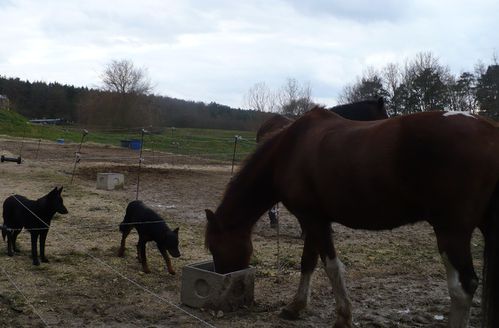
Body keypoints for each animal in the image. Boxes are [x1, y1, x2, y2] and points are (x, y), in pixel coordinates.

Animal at [206, 108, 499, 328]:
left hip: (452, 231)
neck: (288, 150)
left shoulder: (314, 221)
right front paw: (296, 307)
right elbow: (308, 262)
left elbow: (331, 267)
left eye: (213, 246)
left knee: (463, 287)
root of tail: (490, 131)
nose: (223, 277)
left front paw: (343, 317)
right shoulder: (314, 220)